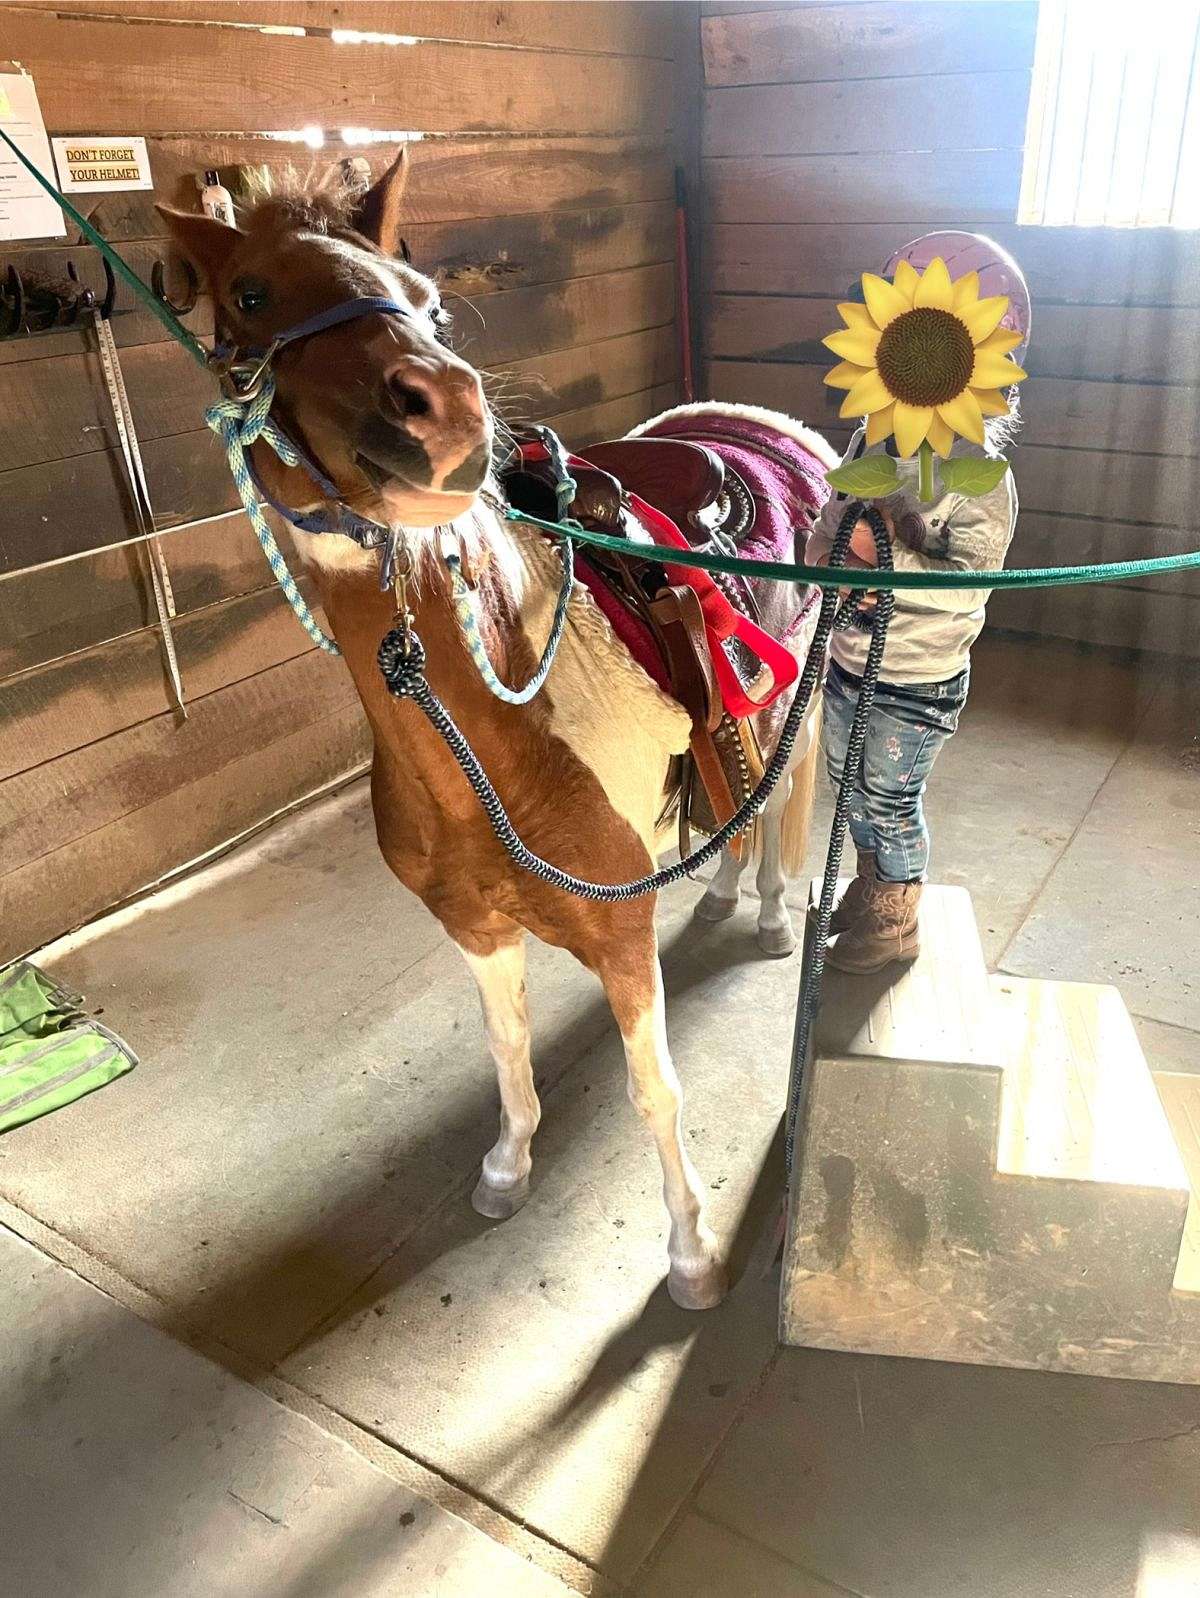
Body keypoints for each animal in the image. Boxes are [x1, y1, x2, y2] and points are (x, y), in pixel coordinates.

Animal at [160, 151, 837, 1311]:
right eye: (248, 294)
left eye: (421, 292)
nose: (442, 413)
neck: (494, 745)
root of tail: (760, 420)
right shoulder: (473, 926)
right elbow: (507, 1047)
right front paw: (510, 1166)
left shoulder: (620, 937)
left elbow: (655, 1088)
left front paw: (692, 1254)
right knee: (734, 791)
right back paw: (719, 887)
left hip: (804, 692)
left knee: (781, 794)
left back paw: (770, 912)